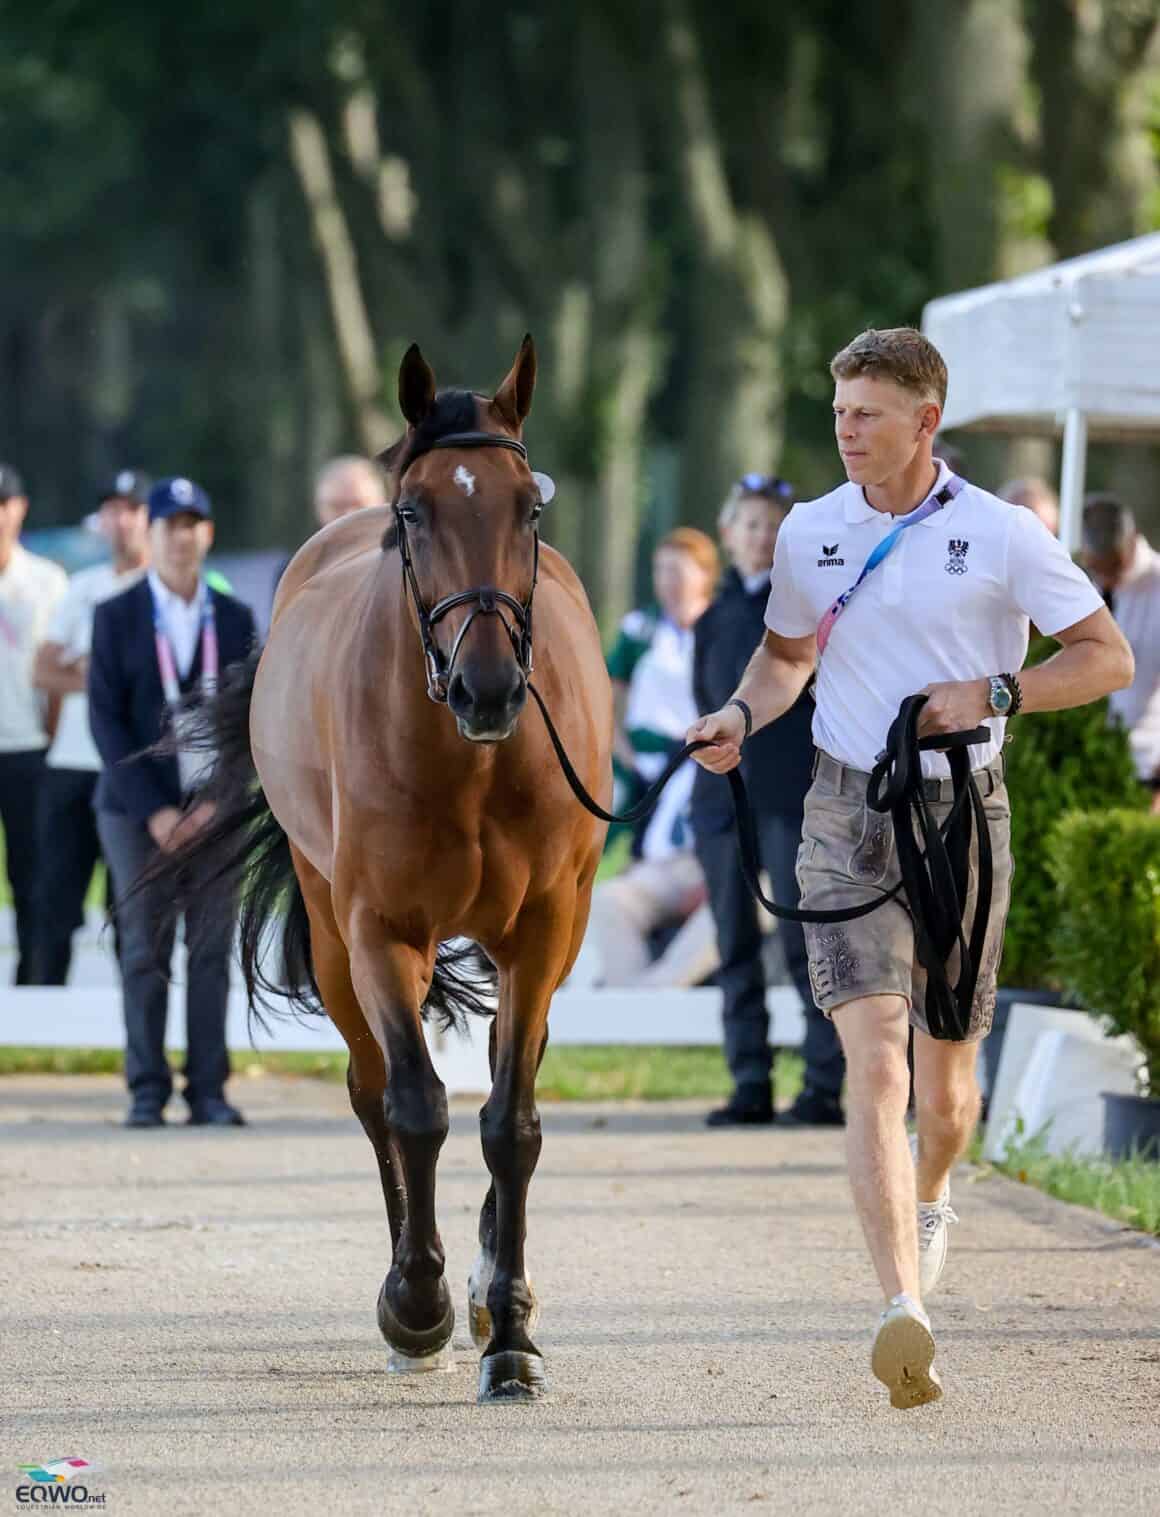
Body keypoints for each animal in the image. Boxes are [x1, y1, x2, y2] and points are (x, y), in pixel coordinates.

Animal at [176, 338, 609, 1401]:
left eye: (528, 508)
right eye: (415, 511)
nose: (489, 685)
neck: (473, 761)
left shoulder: (544, 929)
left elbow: (512, 1119)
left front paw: (511, 1333)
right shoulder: (380, 929)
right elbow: (413, 1107)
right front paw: (417, 1302)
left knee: (502, 1072)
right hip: (336, 936)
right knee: (374, 1091)